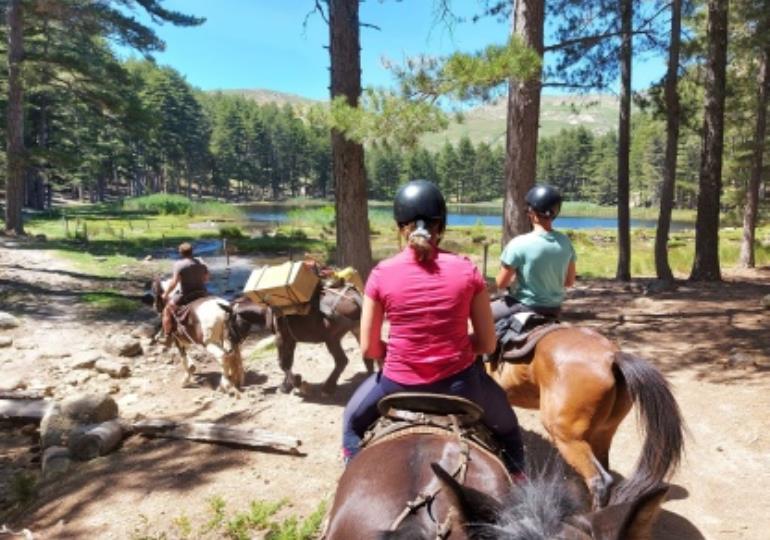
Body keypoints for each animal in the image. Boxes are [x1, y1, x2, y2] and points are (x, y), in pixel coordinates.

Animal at [231, 284, 372, 394]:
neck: (269, 310)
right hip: (358, 331)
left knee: (341, 361)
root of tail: (355, 298)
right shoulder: (290, 340)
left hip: (332, 339)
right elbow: (288, 362)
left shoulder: (281, 339)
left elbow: (282, 363)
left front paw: (296, 382)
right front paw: (287, 385)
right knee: (366, 356)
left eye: (229, 322)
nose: (232, 343)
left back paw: (328, 387)